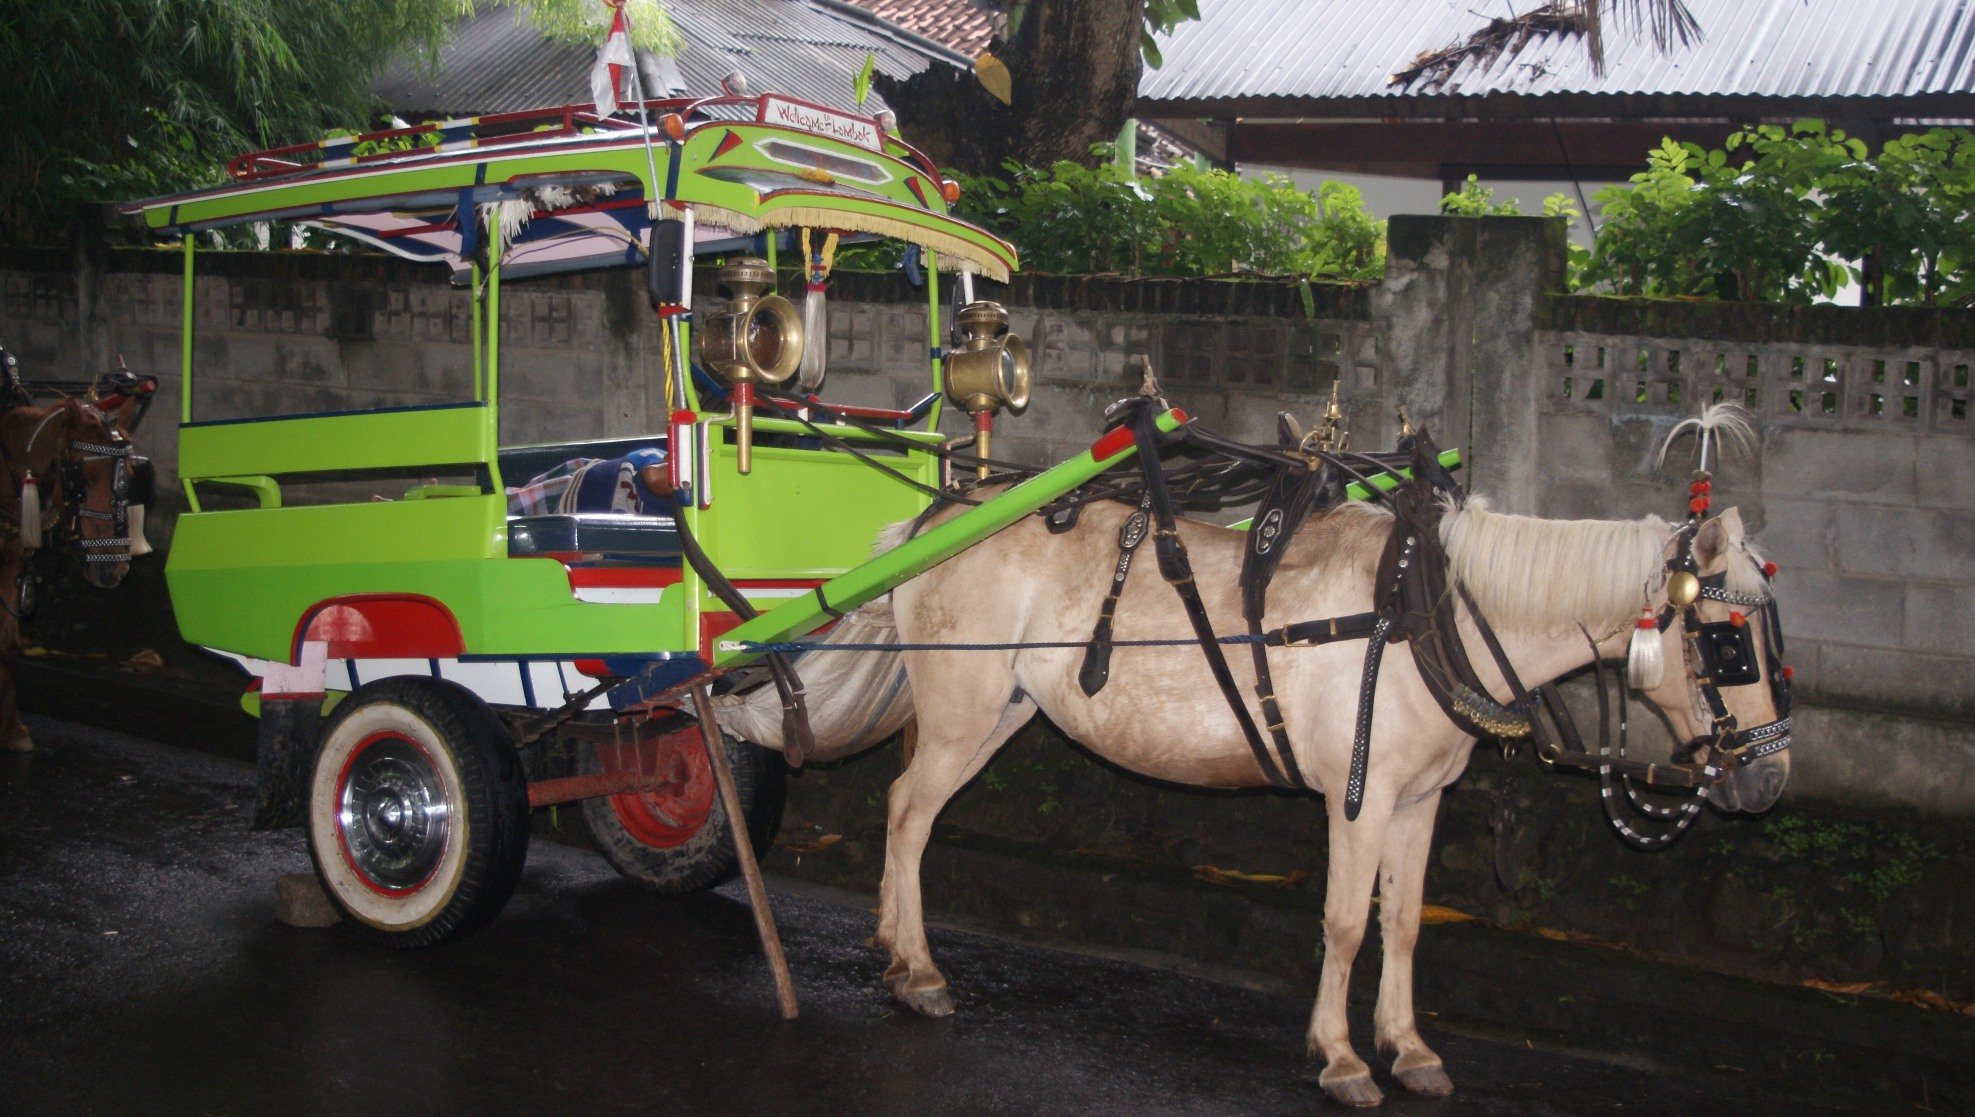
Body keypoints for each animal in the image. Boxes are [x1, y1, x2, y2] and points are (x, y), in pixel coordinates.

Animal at [0, 398, 138, 757]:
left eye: (130, 474)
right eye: (82, 477)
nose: (114, 570)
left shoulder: (10, 565)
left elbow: (6, 643)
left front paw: (12, 728)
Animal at [726, 489, 1793, 1113]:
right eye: (1728, 640)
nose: (1766, 779)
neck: (1420, 618)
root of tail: (934, 520)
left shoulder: (1419, 800)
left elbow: (1404, 923)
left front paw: (1408, 1045)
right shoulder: (1358, 798)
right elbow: (1344, 925)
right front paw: (1342, 1057)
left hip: (1002, 708)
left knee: (910, 808)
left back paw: (894, 949)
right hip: (963, 707)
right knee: (909, 814)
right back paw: (914, 968)